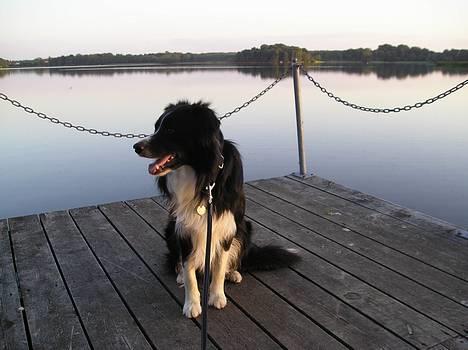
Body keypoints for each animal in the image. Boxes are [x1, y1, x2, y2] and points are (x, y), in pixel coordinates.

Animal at [133, 100, 300, 318]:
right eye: (156, 128)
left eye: (170, 129)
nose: (136, 147)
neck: (203, 177)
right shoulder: (184, 228)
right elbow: (188, 270)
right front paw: (192, 304)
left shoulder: (226, 226)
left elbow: (219, 266)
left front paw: (217, 296)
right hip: (170, 229)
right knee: (178, 261)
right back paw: (179, 274)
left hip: (244, 227)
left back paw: (233, 272)